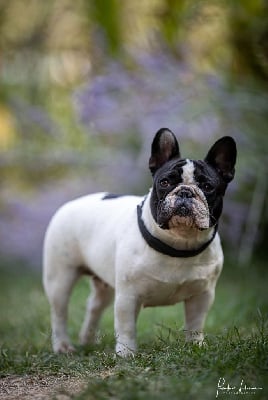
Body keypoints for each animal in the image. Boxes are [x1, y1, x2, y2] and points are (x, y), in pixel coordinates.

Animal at [43, 128, 237, 356]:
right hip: (60, 278)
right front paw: (126, 354)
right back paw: (63, 346)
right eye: (165, 183)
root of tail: (70, 204)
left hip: (105, 284)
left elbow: (195, 324)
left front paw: (195, 346)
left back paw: (88, 340)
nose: (185, 192)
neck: (178, 244)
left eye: (207, 187)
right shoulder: (128, 296)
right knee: (59, 313)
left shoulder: (202, 295)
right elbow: (126, 326)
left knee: (94, 306)